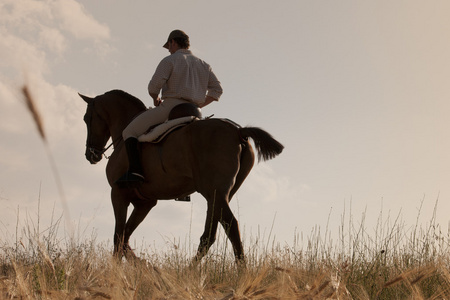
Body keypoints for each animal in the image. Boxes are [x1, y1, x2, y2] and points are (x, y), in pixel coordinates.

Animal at [79, 90, 284, 264]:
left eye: (86, 118)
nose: (91, 155)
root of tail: (238, 131)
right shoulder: (145, 203)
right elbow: (125, 237)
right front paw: (144, 266)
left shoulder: (118, 194)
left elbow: (119, 236)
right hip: (218, 196)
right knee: (210, 234)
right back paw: (191, 271)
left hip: (214, 192)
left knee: (230, 226)